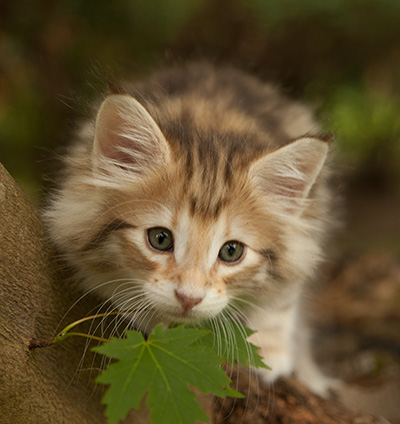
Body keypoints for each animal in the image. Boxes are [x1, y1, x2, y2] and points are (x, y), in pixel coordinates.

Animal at [44, 62, 338, 394]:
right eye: (159, 239)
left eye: (231, 251)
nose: (189, 298)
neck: (210, 125)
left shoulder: (307, 233)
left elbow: (282, 297)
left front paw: (269, 349)